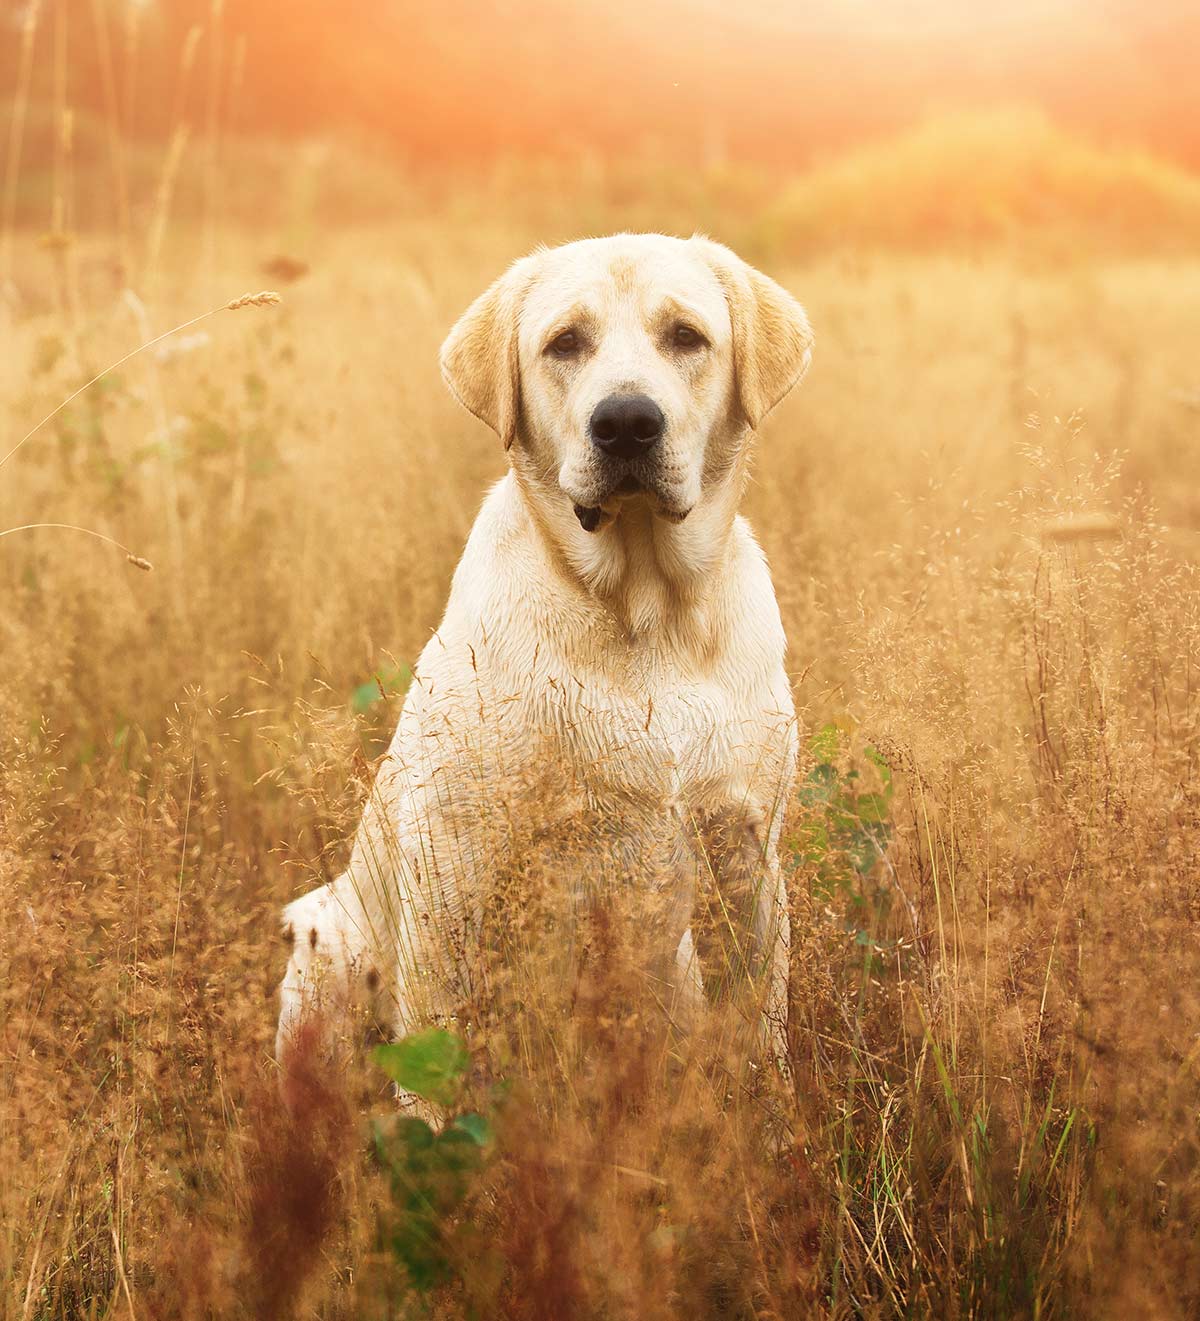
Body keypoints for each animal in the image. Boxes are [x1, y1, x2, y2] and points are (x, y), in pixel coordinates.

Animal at [276, 232, 808, 1077]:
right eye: (565, 343)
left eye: (686, 336)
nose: (626, 423)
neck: (645, 615)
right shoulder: (454, 872)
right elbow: (441, 1057)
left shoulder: (748, 852)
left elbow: (760, 1026)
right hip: (328, 937)